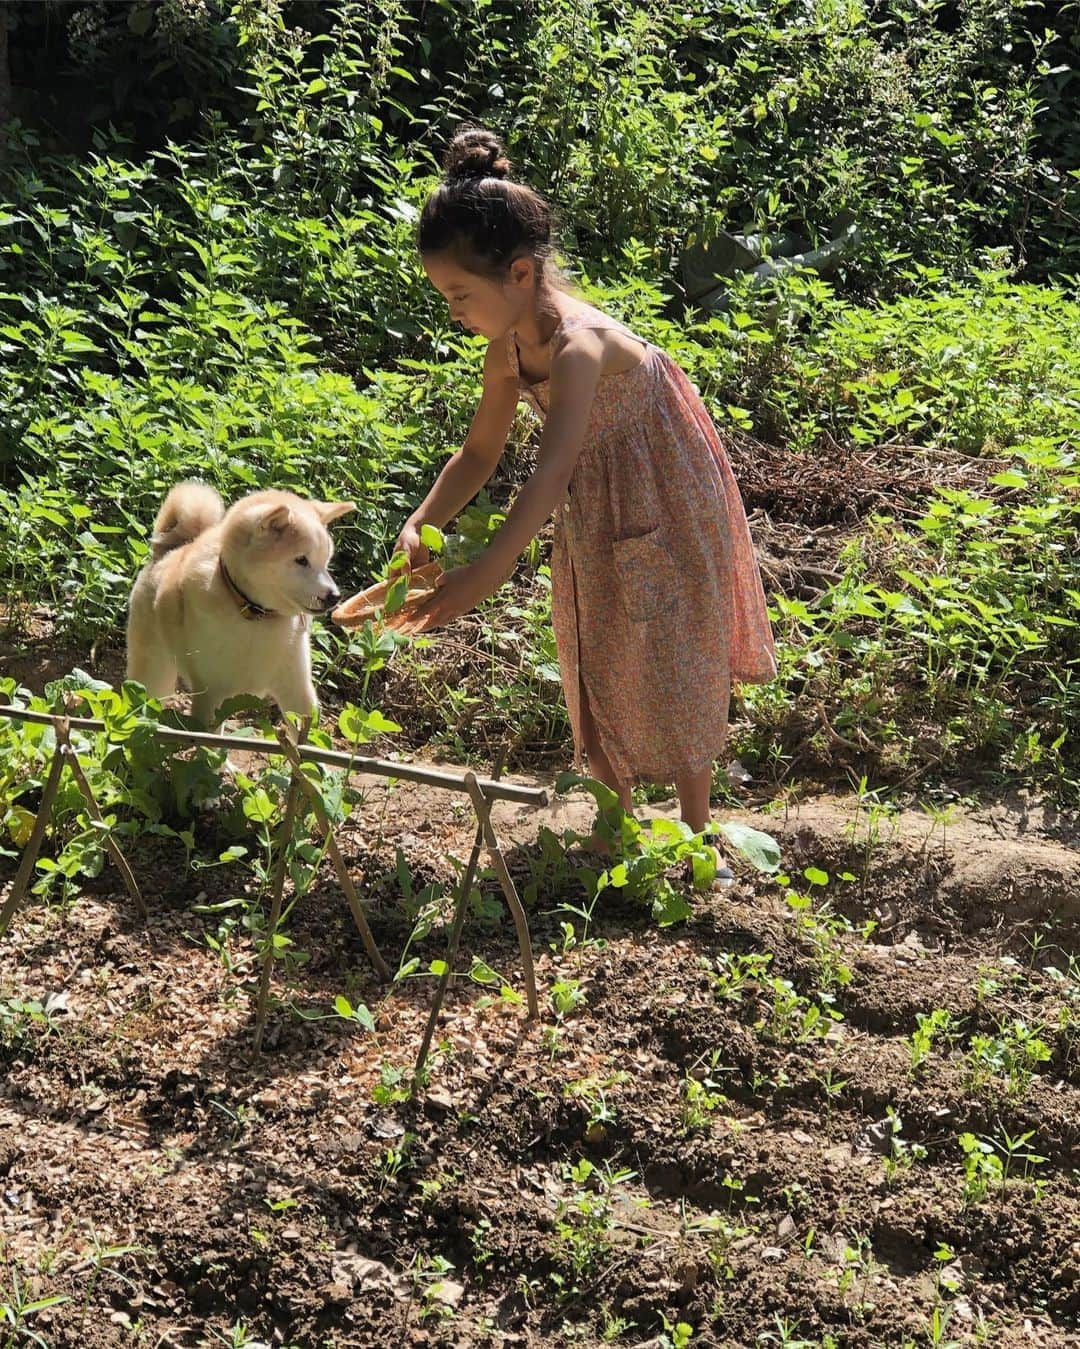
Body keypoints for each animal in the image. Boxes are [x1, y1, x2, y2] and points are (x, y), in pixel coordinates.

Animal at [127, 482, 353, 728]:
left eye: (326, 562)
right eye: (301, 560)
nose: (334, 596)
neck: (256, 616)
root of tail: (170, 550)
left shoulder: (298, 692)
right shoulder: (210, 696)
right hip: (154, 675)